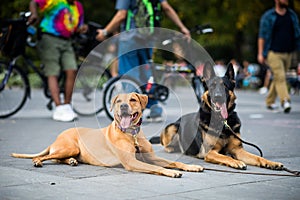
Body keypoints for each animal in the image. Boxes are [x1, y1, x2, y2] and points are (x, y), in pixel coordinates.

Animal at [11, 93, 204, 177]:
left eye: (132, 100)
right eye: (118, 101)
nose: (123, 106)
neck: (132, 134)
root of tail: (58, 137)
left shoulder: (150, 157)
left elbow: (175, 161)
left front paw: (192, 167)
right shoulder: (132, 162)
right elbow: (158, 168)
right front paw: (171, 172)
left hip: (71, 151)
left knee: (58, 159)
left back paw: (72, 161)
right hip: (69, 147)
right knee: (46, 157)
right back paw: (37, 161)